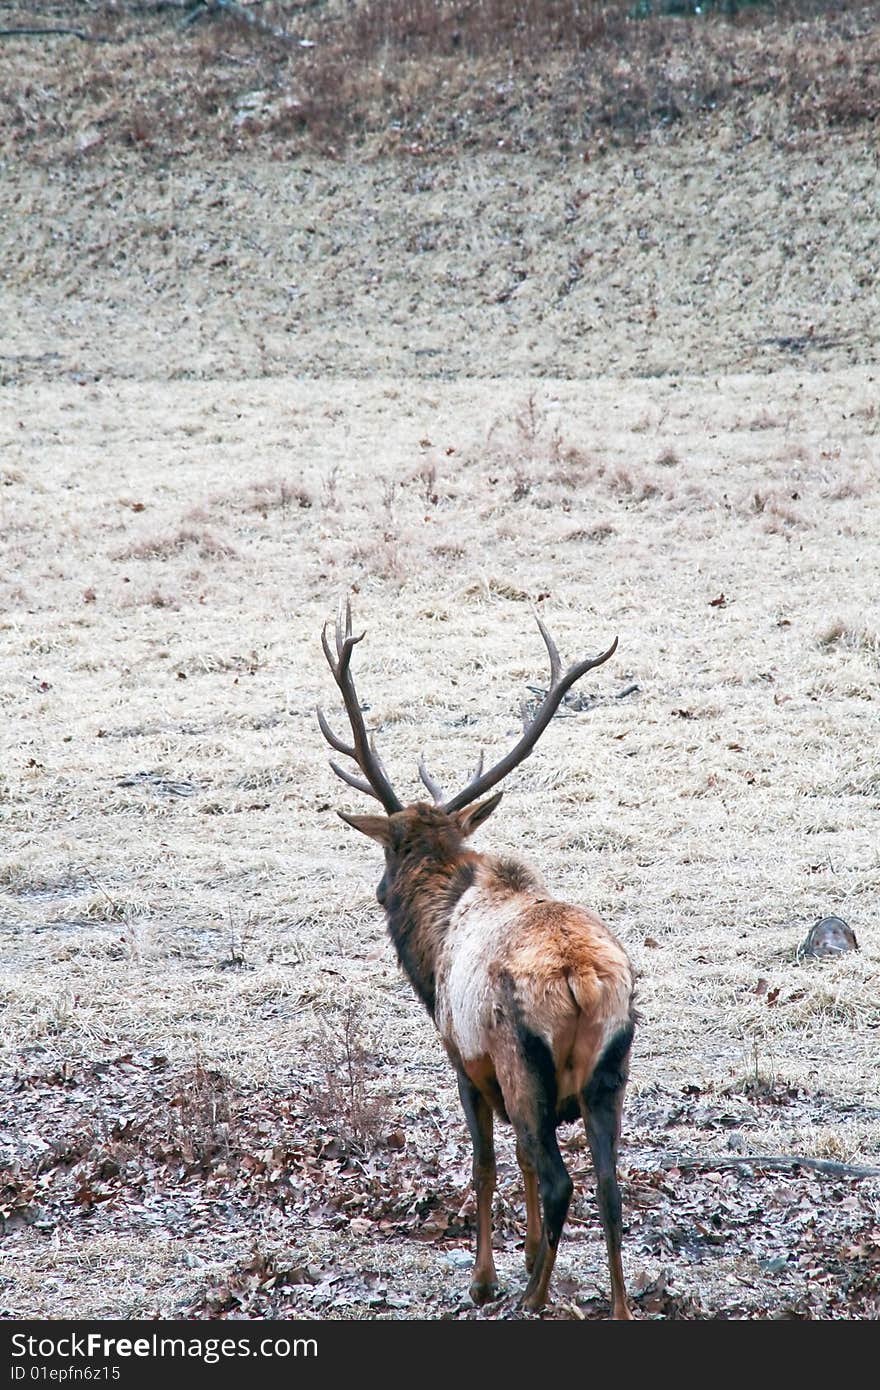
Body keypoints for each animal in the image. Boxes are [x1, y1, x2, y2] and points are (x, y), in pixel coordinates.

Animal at [319, 597, 633, 1312]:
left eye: (389, 850)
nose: (379, 892)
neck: (433, 941)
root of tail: (583, 982)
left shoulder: (465, 1058)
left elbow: (488, 1163)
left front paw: (487, 1277)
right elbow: (517, 1162)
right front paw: (529, 1252)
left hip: (524, 1063)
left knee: (560, 1178)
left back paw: (533, 1300)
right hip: (610, 1074)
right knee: (607, 1187)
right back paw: (617, 1304)